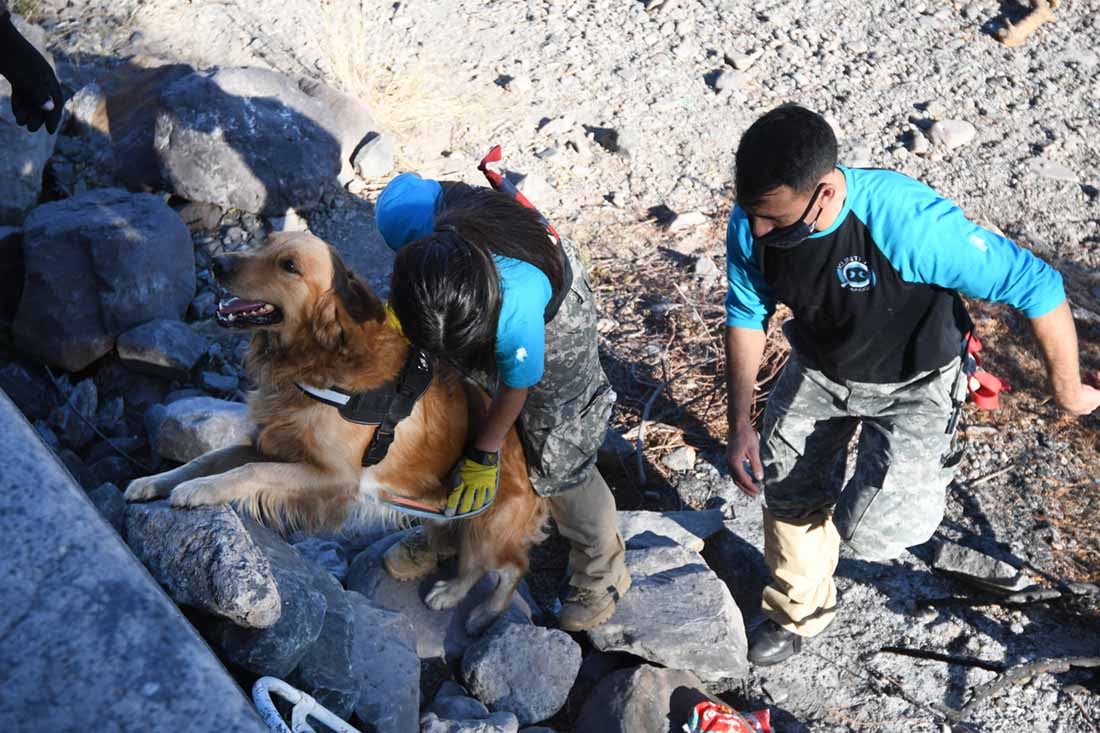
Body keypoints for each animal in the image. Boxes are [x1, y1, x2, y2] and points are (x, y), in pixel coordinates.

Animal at [126, 231, 547, 629]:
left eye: (289, 266)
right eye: (266, 243)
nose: (217, 263)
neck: (317, 361)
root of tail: (534, 474)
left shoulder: (335, 478)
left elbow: (248, 471)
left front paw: (198, 491)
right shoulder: (271, 443)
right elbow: (207, 460)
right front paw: (156, 482)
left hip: (483, 525)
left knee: (508, 566)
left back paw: (469, 604)